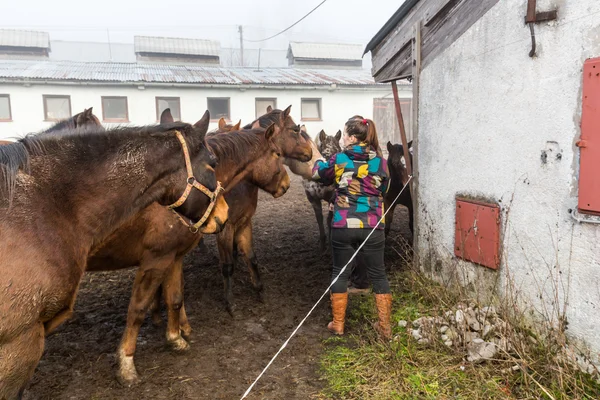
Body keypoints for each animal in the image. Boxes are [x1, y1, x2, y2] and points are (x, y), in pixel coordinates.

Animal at [0, 119, 221, 400]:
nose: (223, 214)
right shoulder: (19, 342)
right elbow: (138, 309)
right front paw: (127, 366)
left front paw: (177, 338)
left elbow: (174, 298)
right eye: (212, 163)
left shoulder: (172, 257)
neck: (48, 204)